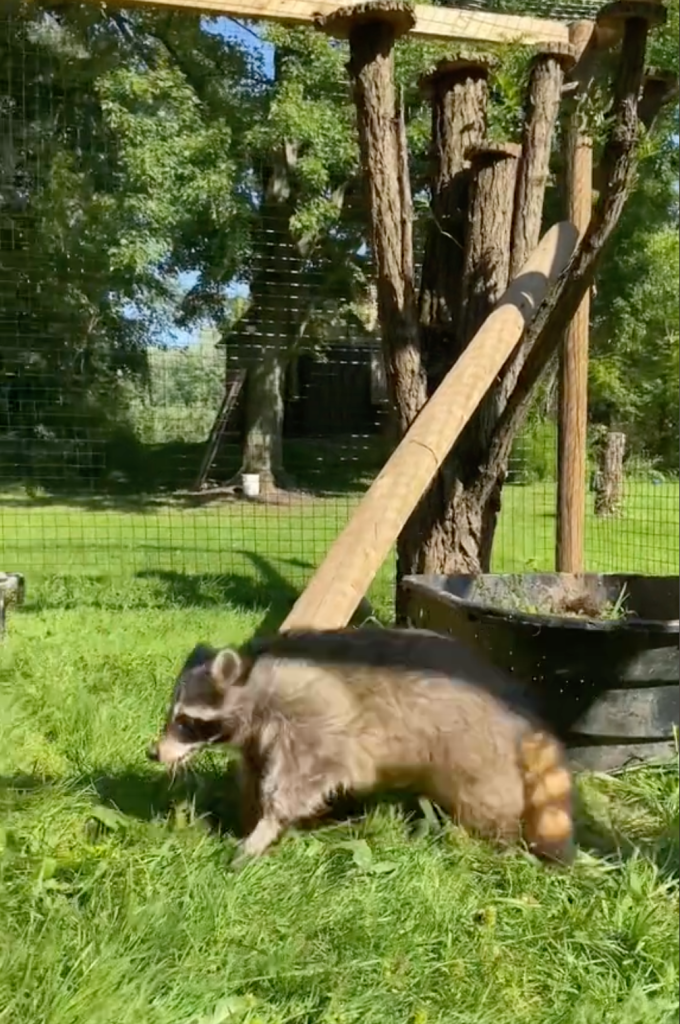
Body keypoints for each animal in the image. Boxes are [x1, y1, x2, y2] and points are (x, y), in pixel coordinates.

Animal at [147, 626, 573, 868]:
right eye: (172, 716)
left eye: (185, 722)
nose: (154, 753)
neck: (253, 678)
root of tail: (518, 714)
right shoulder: (259, 734)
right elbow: (255, 769)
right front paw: (247, 815)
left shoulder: (312, 716)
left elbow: (302, 776)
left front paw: (266, 826)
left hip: (475, 749)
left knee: (485, 801)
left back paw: (494, 840)